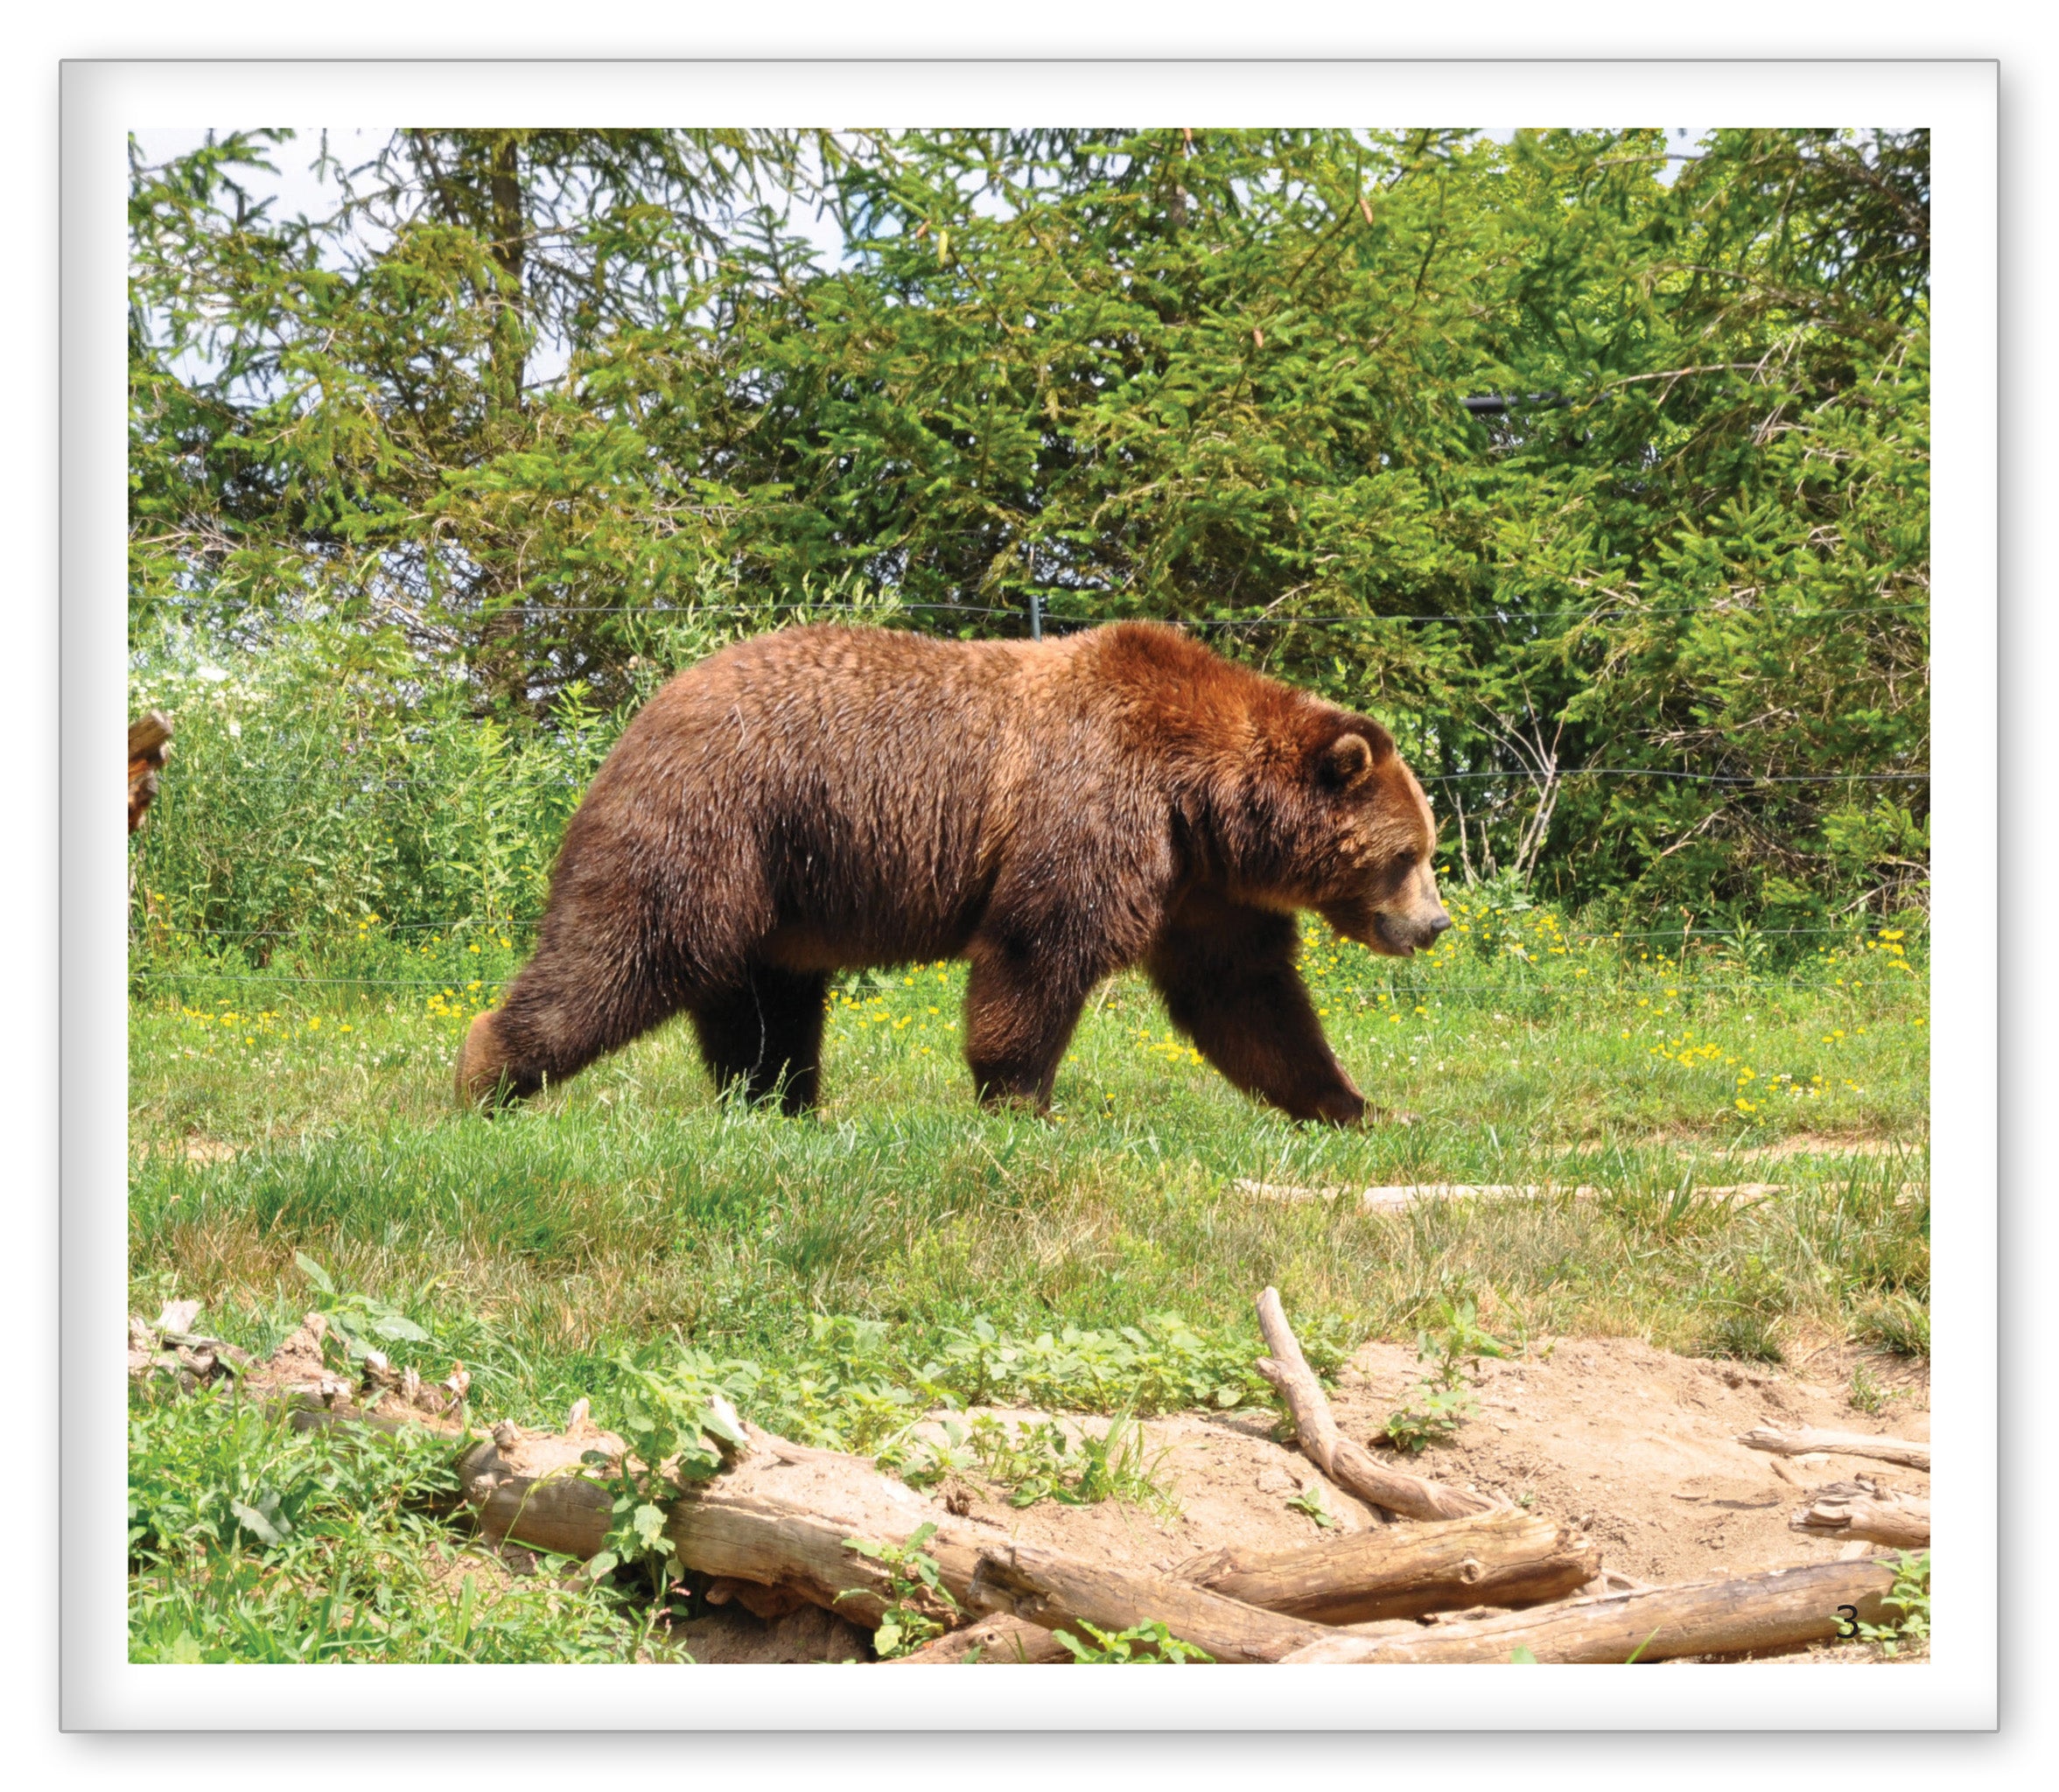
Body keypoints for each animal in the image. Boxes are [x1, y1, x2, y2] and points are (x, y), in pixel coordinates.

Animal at [456, 621, 1451, 1124]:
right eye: (1407, 855)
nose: (1434, 924)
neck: (1200, 800)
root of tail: (644, 710)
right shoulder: (1093, 807)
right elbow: (1040, 948)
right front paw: (1022, 1100)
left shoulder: (1199, 888)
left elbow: (1248, 998)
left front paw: (1354, 1105)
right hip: (715, 818)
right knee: (627, 949)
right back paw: (486, 1074)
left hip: (780, 872)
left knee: (763, 995)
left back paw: (781, 1107)